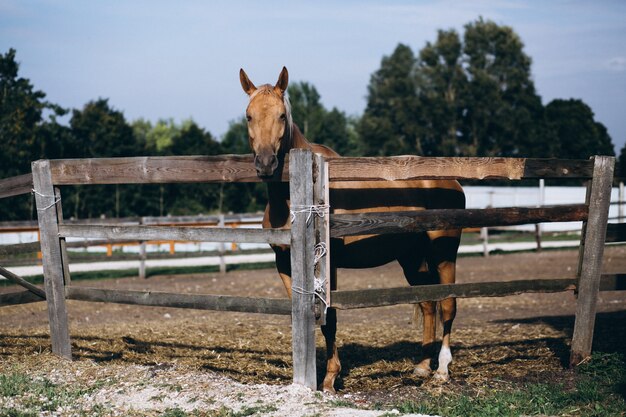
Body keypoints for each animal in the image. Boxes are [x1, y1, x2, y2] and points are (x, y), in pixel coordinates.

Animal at [239, 66, 464, 392]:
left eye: (282, 115)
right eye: (249, 116)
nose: (266, 163)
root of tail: (451, 181)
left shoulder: (327, 265)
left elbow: (330, 317)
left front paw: (330, 378)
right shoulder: (284, 263)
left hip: (444, 253)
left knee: (447, 304)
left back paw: (442, 370)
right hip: (413, 259)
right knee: (427, 304)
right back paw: (422, 367)